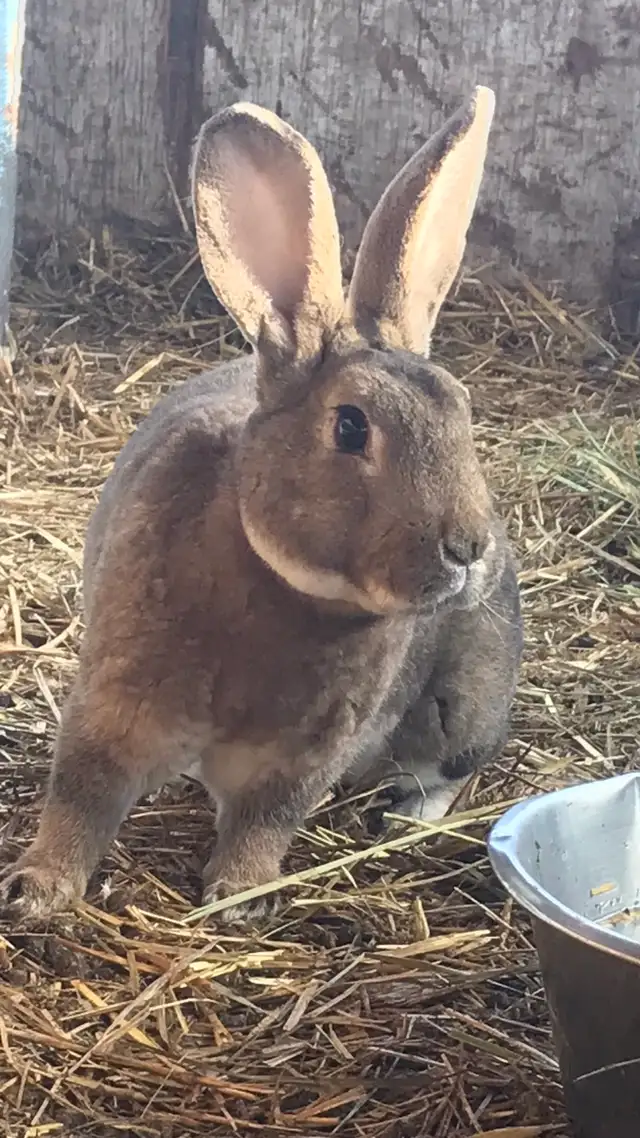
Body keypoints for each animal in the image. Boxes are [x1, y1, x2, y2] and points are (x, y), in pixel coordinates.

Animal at [0, 86, 522, 925]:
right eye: (350, 427)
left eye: (463, 412)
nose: (468, 548)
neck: (284, 585)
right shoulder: (116, 708)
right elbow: (81, 796)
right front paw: (37, 890)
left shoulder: (300, 755)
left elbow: (264, 820)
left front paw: (237, 899)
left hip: (463, 702)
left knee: (449, 768)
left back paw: (401, 819)